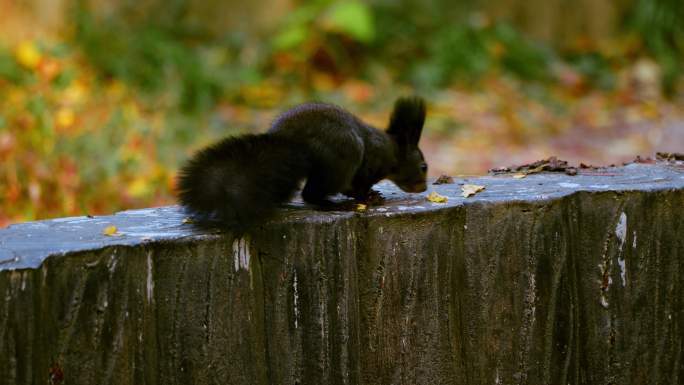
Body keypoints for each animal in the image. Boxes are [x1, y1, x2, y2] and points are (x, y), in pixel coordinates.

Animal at [176, 97, 428, 228]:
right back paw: (333, 204)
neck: (392, 150)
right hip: (343, 155)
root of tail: (291, 140)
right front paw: (367, 198)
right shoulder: (370, 165)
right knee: (311, 195)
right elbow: (359, 186)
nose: (424, 187)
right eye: (423, 167)